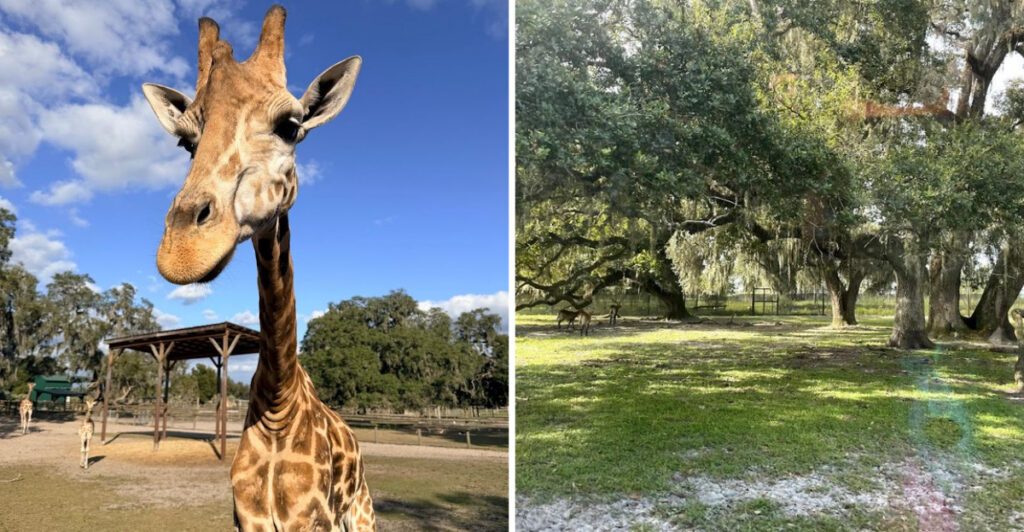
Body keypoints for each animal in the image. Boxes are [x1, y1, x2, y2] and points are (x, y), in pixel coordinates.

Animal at [140, 6, 374, 530]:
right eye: (186, 143)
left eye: (290, 125)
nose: (182, 252)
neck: (277, 404)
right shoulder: (246, 519)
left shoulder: (314, 521)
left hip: (363, 515)